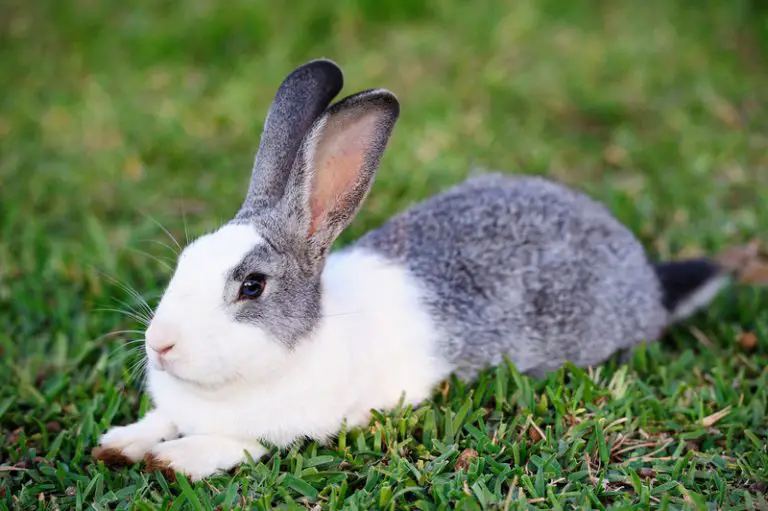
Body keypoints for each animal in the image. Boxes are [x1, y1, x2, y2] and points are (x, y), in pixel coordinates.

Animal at [94, 59, 730, 481]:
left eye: (252, 286)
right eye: (184, 262)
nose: (160, 345)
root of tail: (646, 278)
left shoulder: (293, 428)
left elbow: (237, 445)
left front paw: (175, 459)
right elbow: (161, 418)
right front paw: (119, 444)